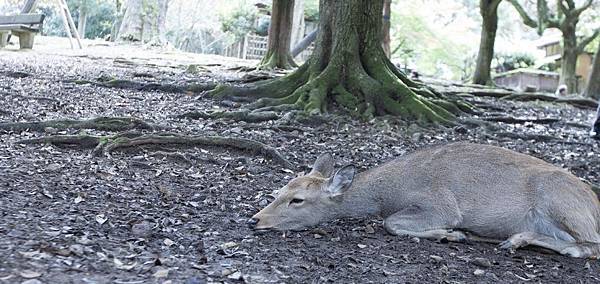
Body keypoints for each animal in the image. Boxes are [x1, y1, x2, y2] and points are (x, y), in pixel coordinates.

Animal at [248, 142, 600, 258]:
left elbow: (390, 223)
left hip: (560, 202)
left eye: (297, 200)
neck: (390, 194)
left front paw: (451, 234)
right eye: (280, 190)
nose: (255, 220)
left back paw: (516, 240)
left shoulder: (441, 204)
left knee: (589, 246)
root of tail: (595, 204)